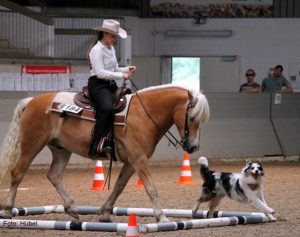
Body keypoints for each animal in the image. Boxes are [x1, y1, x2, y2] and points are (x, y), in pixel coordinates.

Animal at [0, 84, 210, 222]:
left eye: (202, 121)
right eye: (192, 118)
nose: (193, 147)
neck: (143, 113)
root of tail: (32, 101)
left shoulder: (131, 162)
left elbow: (118, 187)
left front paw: (105, 211)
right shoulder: (139, 160)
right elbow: (151, 188)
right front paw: (162, 217)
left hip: (61, 149)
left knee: (54, 175)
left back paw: (72, 207)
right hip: (31, 145)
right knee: (17, 173)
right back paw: (9, 209)